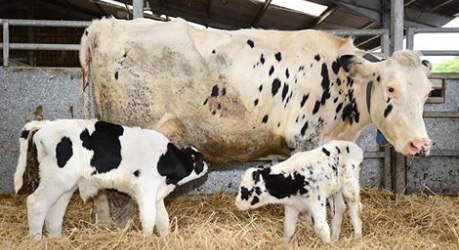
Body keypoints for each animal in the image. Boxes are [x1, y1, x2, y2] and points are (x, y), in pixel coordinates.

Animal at [13, 119, 208, 240]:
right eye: (197, 158)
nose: (207, 166)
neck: (165, 158)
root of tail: (46, 125)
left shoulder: (157, 194)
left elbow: (163, 219)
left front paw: (165, 239)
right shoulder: (146, 189)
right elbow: (149, 217)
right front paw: (147, 239)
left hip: (64, 185)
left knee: (55, 212)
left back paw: (58, 240)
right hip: (57, 180)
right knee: (36, 203)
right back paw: (37, 241)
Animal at [80, 17, 434, 225]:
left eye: (428, 92)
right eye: (391, 88)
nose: (420, 145)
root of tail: (104, 25)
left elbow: (337, 200)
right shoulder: (305, 140)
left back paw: (104, 228)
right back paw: (123, 228)